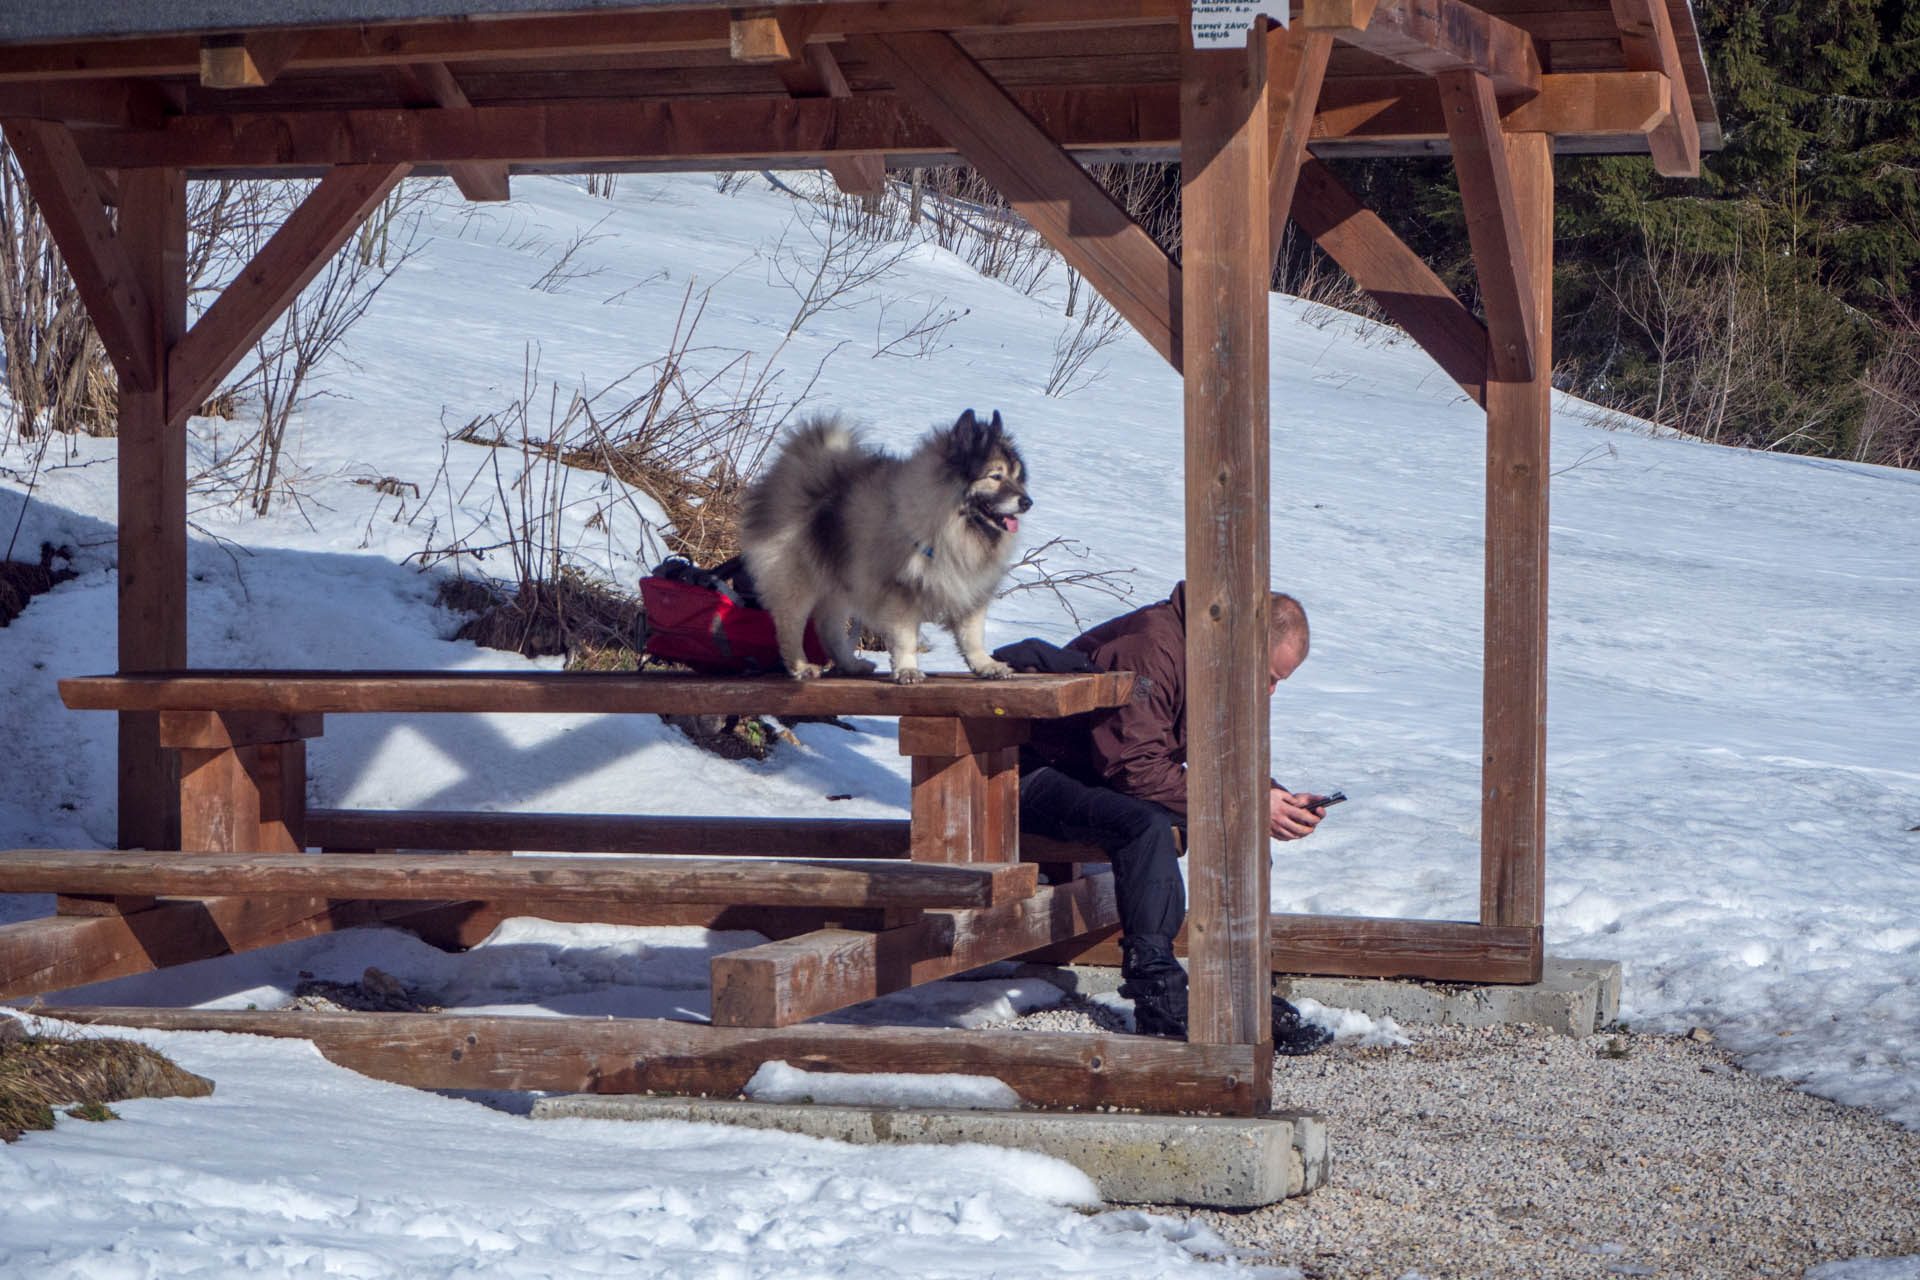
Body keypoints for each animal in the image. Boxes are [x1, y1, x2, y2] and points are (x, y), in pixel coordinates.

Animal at [737, 416, 1036, 687]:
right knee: (790, 625)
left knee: (828, 628)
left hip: (841, 584)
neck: (950, 524)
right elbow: (905, 639)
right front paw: (907, 670)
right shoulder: (901, 593)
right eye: (995, 476)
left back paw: (851, 664)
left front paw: (985, 665)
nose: (1027, 502)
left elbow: (971, 637)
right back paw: (801, 667)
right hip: (798, 579)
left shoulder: (970, 589)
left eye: (1018, 477)